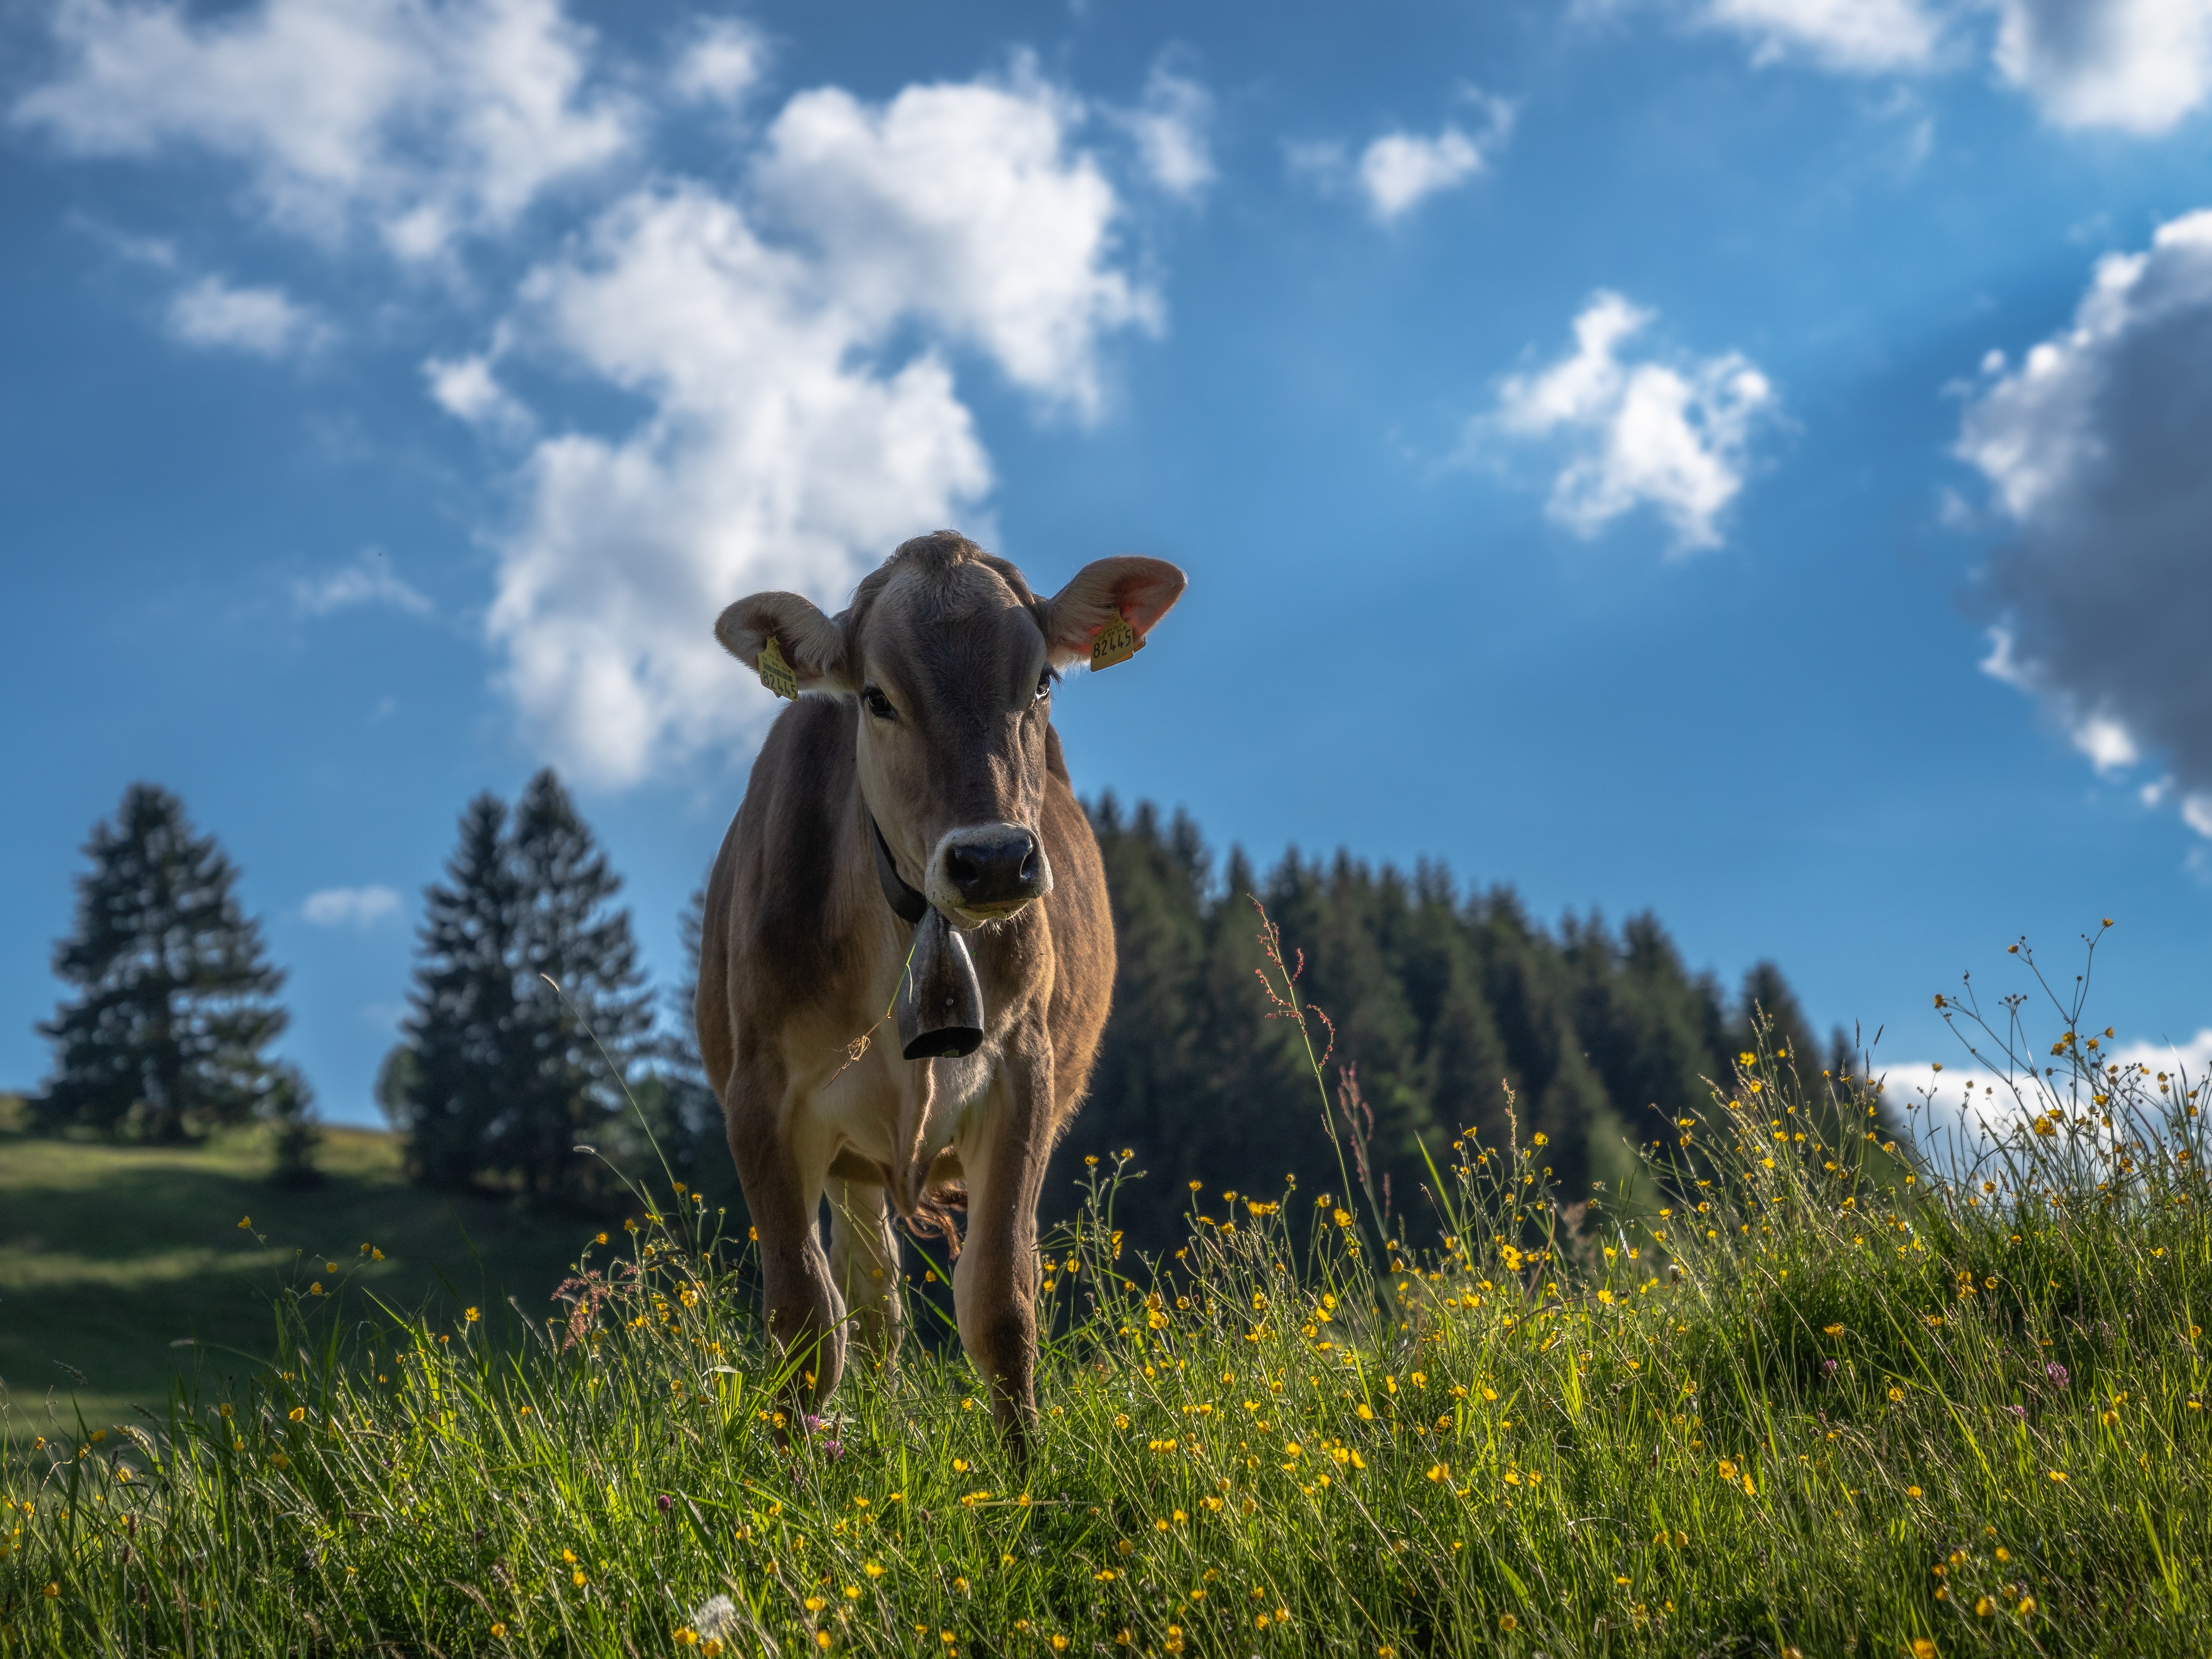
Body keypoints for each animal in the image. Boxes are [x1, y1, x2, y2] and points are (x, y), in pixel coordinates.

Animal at [703, 533, 1194, 1451]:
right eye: (876, 698)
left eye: (1041, 682)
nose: (994, 858)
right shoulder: (761, 1098)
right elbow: (805, 1319)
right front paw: (787, 1480)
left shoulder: (1021, 1074)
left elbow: (1000, 1303)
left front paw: (1023, 1475)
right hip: (850, 1159)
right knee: (869, 1299)